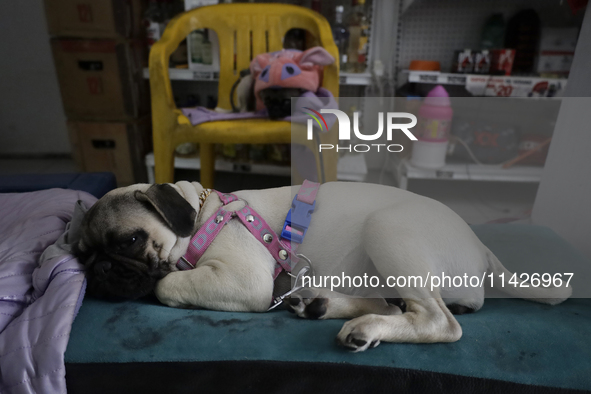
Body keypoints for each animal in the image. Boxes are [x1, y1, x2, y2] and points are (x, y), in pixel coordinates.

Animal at [76, 181, 572, 350]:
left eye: (131, 241)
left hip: (388, 229)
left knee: (439, 321)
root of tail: (482, 249)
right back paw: (321, 304)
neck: (200, 216)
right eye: (81, 253)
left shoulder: (244, 280)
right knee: (398, 306)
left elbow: (164, 286)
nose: (99, 269)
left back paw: (362, 327)